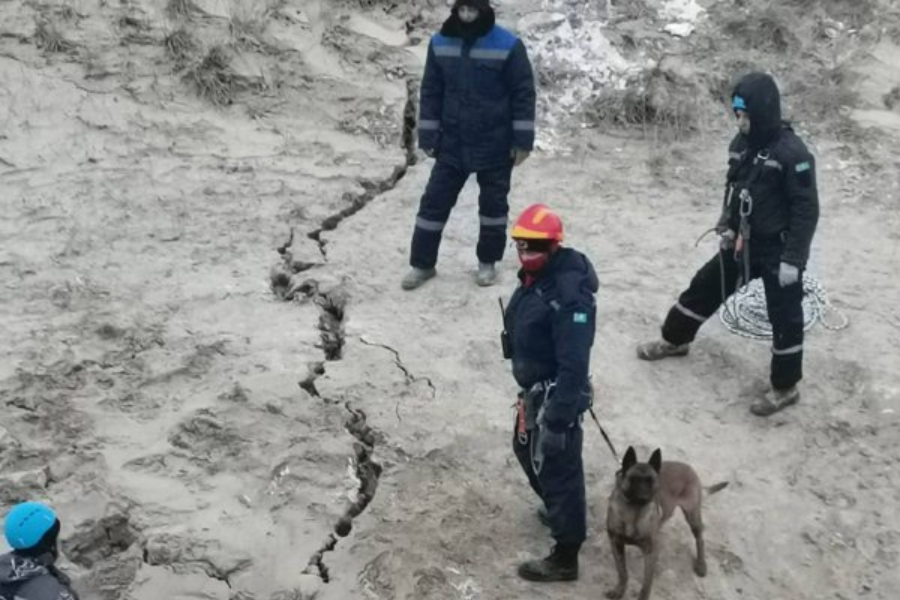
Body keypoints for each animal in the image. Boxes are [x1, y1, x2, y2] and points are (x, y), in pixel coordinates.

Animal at [604, 446, 724, 600]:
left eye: (651, 481)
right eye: (634, 479)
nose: (645, 494)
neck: (633, 511)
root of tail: (689, 468)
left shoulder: (651, 553)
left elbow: (646, 585)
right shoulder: (616, 544)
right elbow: (622, 572)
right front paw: (619, 590)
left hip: (692, 515)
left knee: (700, 539)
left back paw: (701, 565)